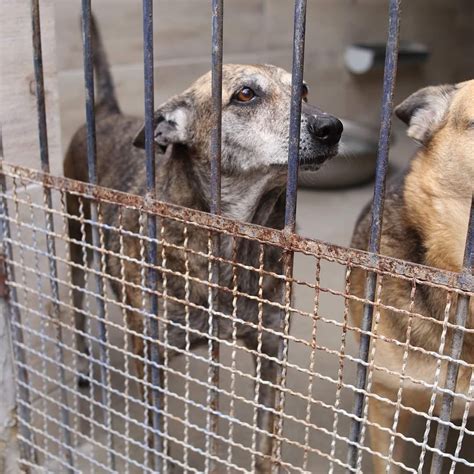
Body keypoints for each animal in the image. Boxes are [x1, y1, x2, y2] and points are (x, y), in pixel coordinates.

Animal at [65, 15, 342, 470]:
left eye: (303, 89)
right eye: (245, 94)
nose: (331, 127)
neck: (233, 241)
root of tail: (107, 114)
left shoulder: (271, 348)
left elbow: (267, 441)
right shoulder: (152, 360)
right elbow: (158, 443)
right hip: (76, 242)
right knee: (75, 305)